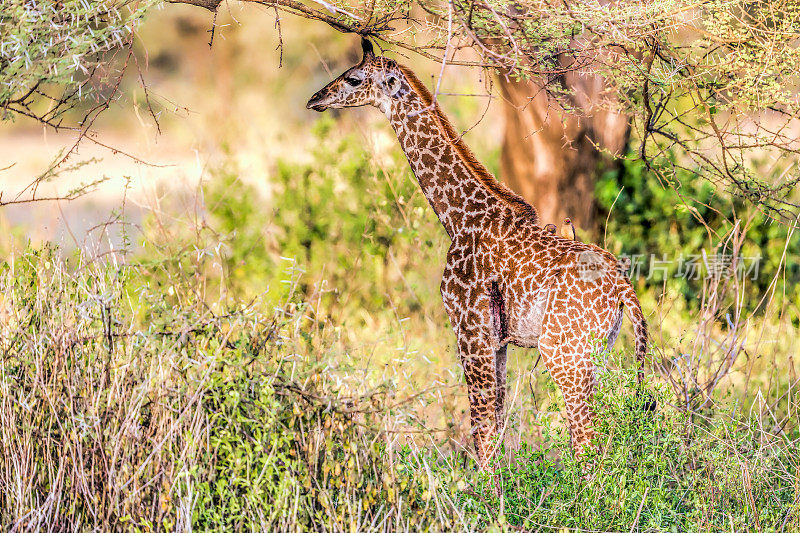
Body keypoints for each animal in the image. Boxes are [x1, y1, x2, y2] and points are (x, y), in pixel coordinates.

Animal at [306, 40, 648, 466]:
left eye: (353, 78)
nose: (315, 99)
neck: (459, 217)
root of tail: (623, 288)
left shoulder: (470, 329)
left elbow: (481, 433)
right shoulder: (497, 342)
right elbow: (496, 428)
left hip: (563, 353)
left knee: (587, 439)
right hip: (596, 351)